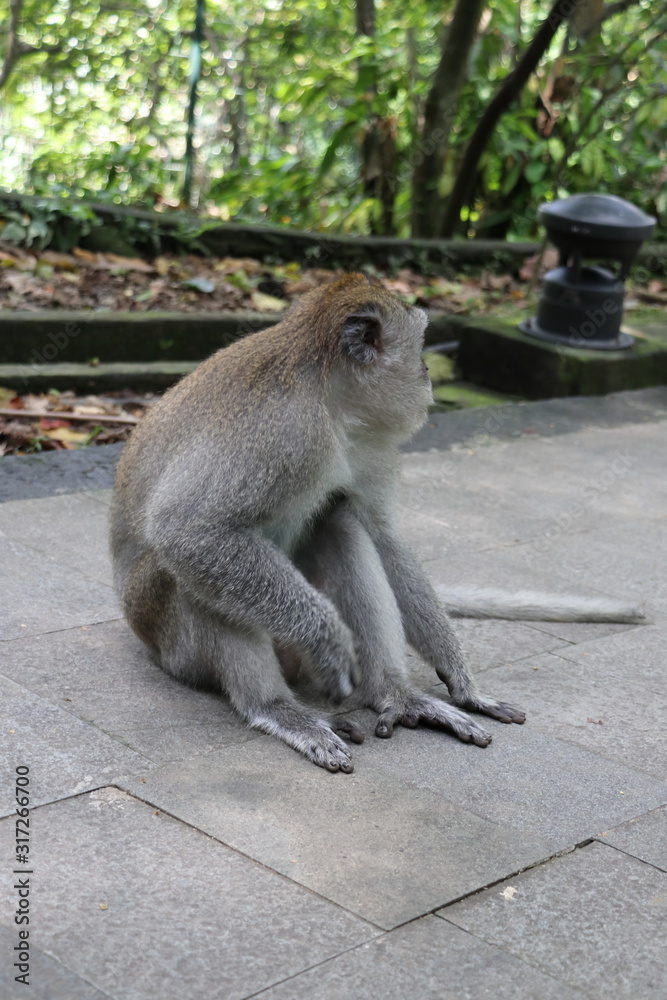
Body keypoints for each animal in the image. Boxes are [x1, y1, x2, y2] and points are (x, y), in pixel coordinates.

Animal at [109, 273, 643, 773]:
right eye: (420, 347)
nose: (428, 377)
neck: (330, 397)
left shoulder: (367, 442)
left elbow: (381, 536)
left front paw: (459, 675)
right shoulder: (285, 429)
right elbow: (190, 531)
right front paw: (326, 638)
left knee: (338, 516)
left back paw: (396, 695)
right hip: (173, 644)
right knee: (186, 571)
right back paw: (278, 708)